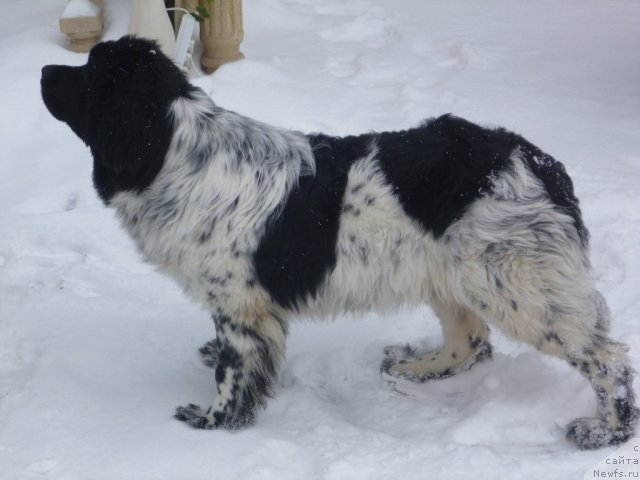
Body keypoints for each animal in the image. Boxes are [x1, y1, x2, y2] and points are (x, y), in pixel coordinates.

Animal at [41, 37, 636, 450]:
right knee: (470, 339)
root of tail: (536, 160)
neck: (170, 149)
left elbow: (234, 372)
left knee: (606, 358)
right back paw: (418, 368)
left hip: (516, 284)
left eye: (89, 75)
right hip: (448, 270)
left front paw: (213, 422)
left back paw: (605, 431)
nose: (45, 69)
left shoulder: (241, 303)